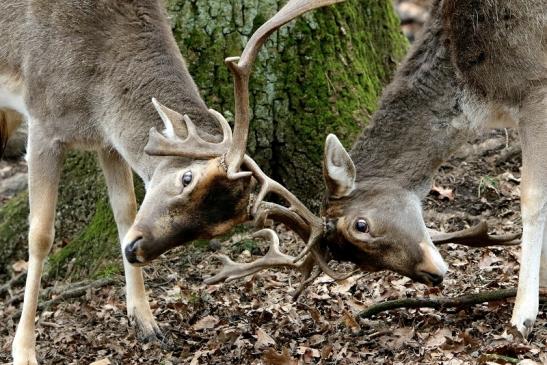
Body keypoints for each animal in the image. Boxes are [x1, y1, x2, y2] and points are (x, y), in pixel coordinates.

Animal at [0, 0, 346, 362]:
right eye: (187, 177)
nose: (135, 251)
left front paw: (145, 321)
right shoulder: (43, 120)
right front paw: (23, 350)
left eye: (214, 230)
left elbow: (125, 211)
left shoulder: (107, 142)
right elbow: (40, 234)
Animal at [208, 0, 544, 336]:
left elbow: (531, 196)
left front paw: (523, 315)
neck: (479, 98)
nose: (433, 276)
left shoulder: (535, 87)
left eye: (361, 225)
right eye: (362, 263)